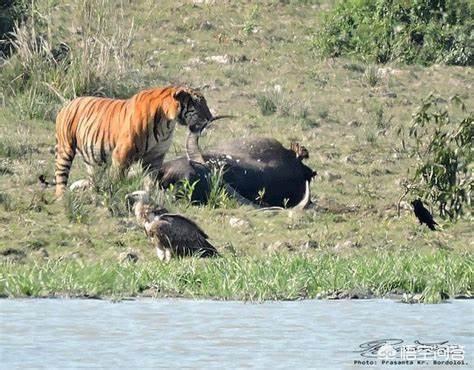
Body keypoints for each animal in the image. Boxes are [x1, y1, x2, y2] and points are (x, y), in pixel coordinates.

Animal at [53, 86, 213, 197]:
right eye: (198, 104)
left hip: (93, 158)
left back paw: (93, 194)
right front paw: (116, 193)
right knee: (61, 175)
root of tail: (68, 103)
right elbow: (118, 178)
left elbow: (150, 180)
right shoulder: (122, 154)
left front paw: (150, 195)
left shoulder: (155, 157)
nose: (210, 118)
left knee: (93, 177)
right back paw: (62, 198)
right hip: (65, 149)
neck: (167, 123)